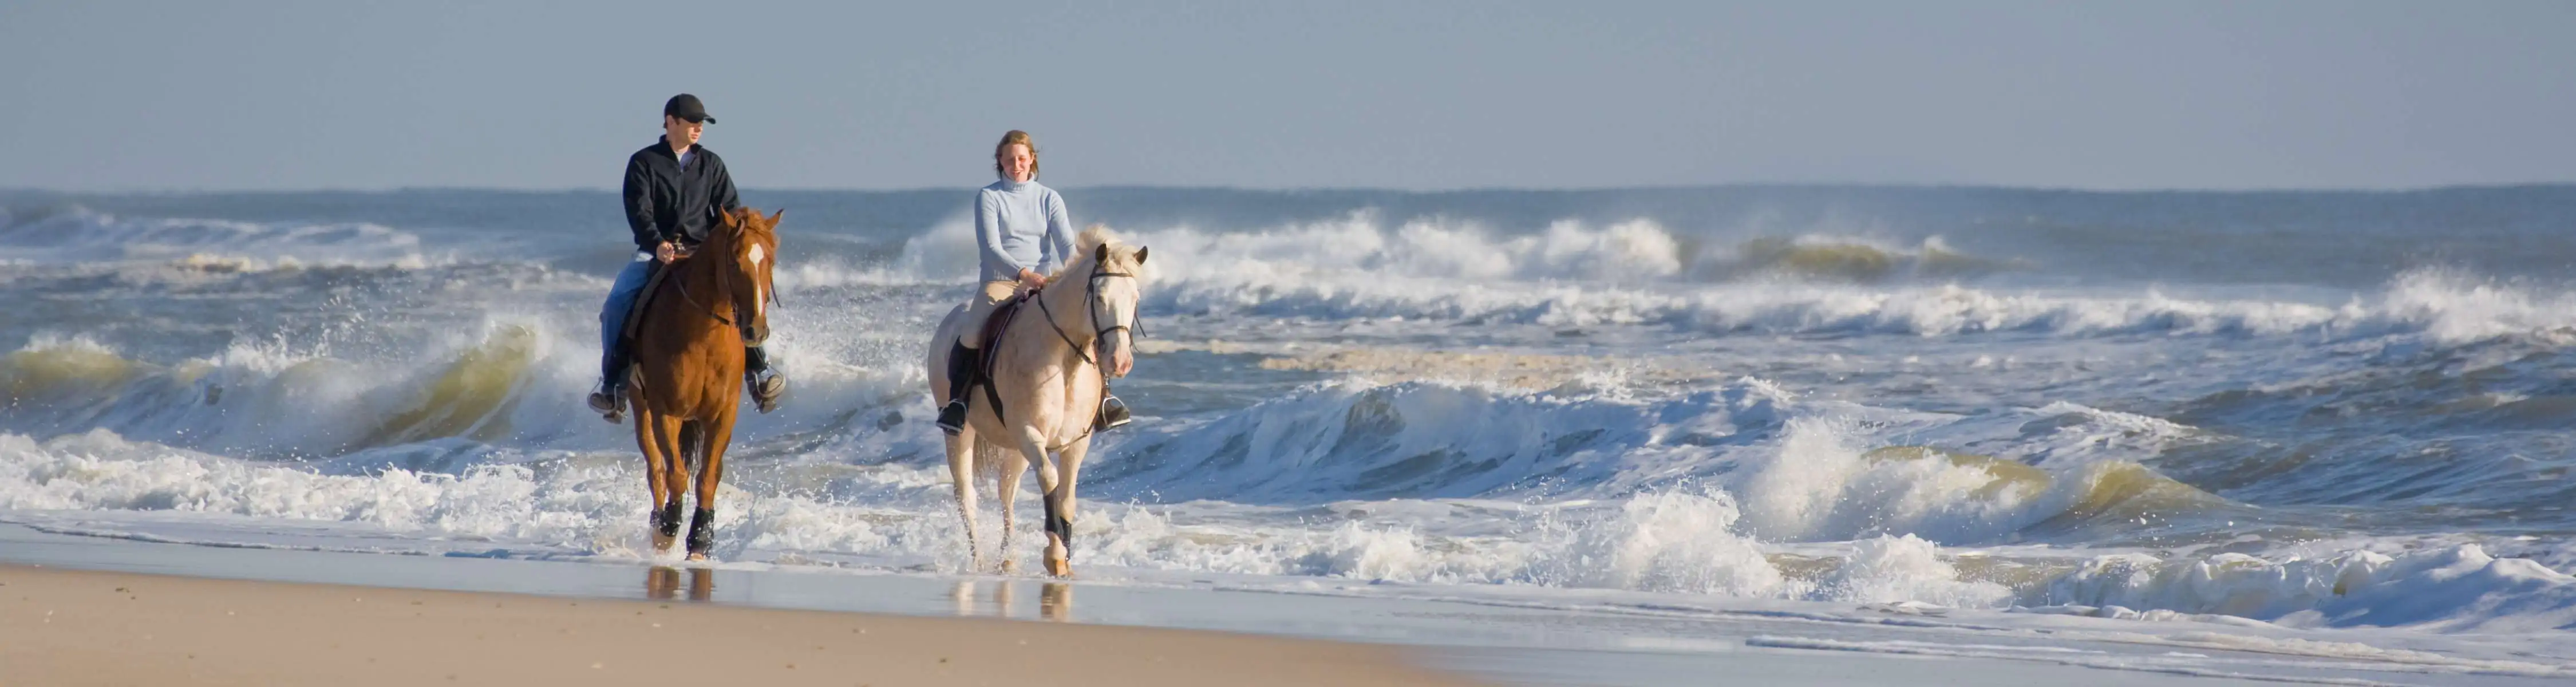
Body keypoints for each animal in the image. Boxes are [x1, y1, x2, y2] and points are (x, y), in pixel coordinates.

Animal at [626, 204, 778, 560]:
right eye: (735, 262)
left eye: (771, 260)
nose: (755, 330)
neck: (703, 337)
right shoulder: (667, 413)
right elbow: (677, 475)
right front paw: (667, 529)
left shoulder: (723, 414)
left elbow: (707, 477)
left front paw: (700, 540)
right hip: (641, 408)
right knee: (656, 471)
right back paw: (658, 522)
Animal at [927, 229, 1149, 579]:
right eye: (1100, 298)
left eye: (1135, 299)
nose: (1120, 362)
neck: (1064, 361)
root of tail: (951, 320)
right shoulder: (1030, 434)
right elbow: (1050, 480)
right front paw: (1055, 554)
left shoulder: (1077, 442)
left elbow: (1068, 498)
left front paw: (1066, 559)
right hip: (961, 434)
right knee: (967, 495)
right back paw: (978, 562)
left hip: (1014, 449)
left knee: (1007, 491)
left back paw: (1007, 559)